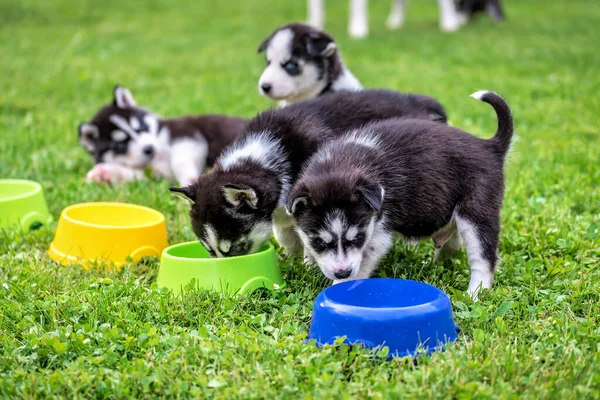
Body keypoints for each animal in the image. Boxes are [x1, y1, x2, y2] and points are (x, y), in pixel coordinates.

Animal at [169, 89, 446, 258]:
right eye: (209, 250)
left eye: (234, 248)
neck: (268, 156)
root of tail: (420, 102)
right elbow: (285, 232)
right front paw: (290, 258)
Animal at [288, 90, 512, 296]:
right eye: (319, 242)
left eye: (358, 237)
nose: (342, 272)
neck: (339, 163)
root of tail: (488, 146)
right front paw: (309, 264)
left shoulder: (378, 232)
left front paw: (338, 288)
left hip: (476, 212)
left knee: (484, 259)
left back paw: (474, 294)